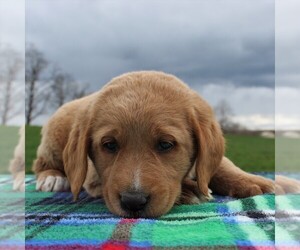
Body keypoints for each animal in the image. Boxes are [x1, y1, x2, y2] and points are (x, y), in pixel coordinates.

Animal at [32, 71, 282, 218]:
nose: (133, 202)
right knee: (41, 163)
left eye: (165, 144)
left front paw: (251, 181)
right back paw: (53, 177)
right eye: (109, 145)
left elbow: (221, 165)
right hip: (55, 134)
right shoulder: (94, 179)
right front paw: (189, 191)